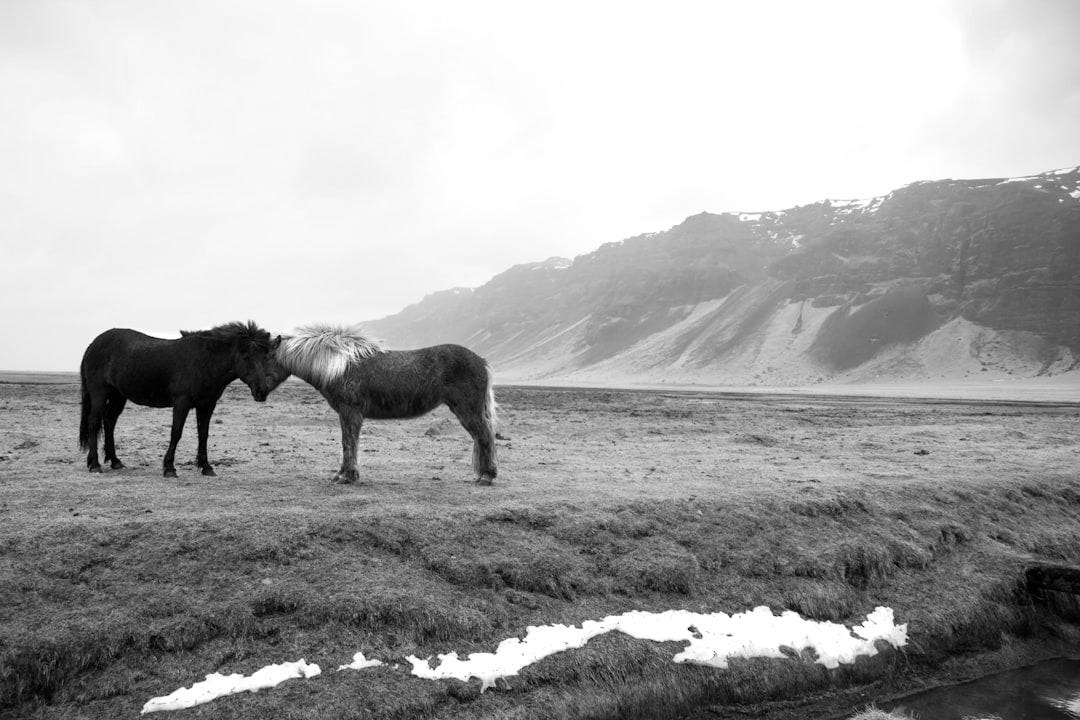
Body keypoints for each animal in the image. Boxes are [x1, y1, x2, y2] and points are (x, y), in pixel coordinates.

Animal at [79, 321, 288, 477]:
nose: (262, 391)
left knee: (109, 422)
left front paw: (206, 467)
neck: (204, 361)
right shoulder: (182, 402)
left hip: (118, 396)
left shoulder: (207, 405)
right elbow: (176, 433)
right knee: (94, 422)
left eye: (266, 357)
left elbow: (203, 434)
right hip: (99, 393)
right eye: (246, 357)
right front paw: (169, 468)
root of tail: (93, 345)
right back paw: (95, 464)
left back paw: (115, 461)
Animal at [273, 324, 498, 485]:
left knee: (484, 435)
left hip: (468, 410)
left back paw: (486, 476)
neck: (338, 366)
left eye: (264, 356)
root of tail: (481, 361)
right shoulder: (347, 414)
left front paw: (347, 476)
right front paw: (342, 474)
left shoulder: (350, 412)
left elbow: (349, 442)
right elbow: (348, 443)